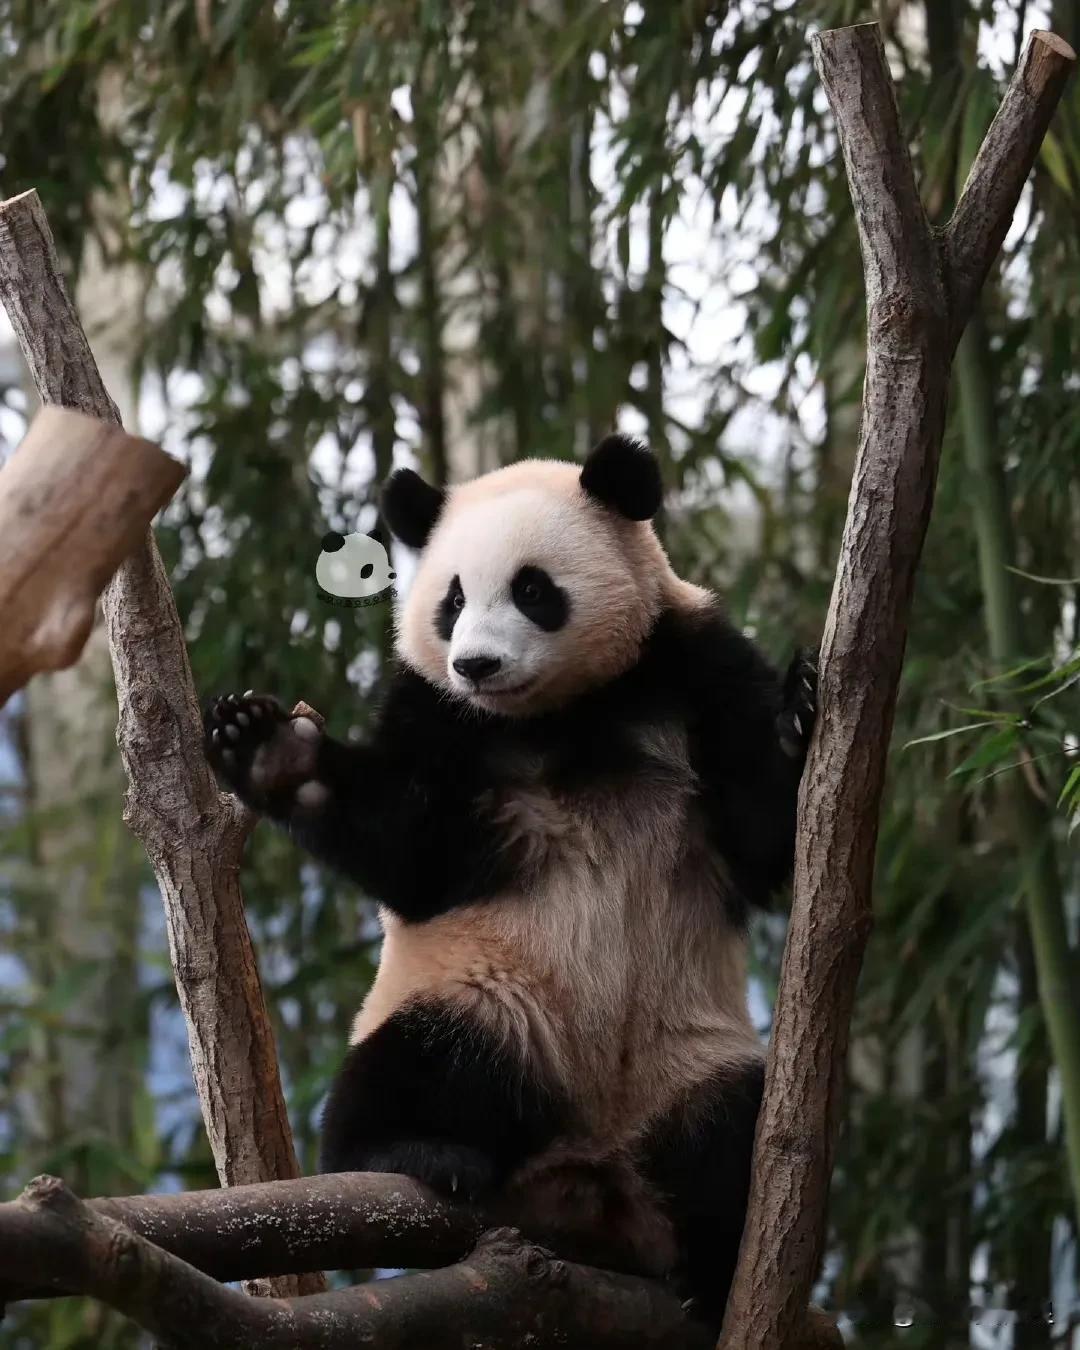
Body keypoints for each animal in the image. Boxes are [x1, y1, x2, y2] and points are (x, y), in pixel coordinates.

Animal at [202, 434, 815, 1328]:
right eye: (451, 600)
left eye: (533, 590)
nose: (478, 664)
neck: (558, 714)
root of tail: (589, 1179)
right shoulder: (436, 712)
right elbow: (412, 852)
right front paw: (274, 751)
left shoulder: (692, 666)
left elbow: (762, 838)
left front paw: (800, 718)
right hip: (493, 998)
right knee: (419, 1059)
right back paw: (415, 1150)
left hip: (688, 1054)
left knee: (728, 1135)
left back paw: (710, 1274)